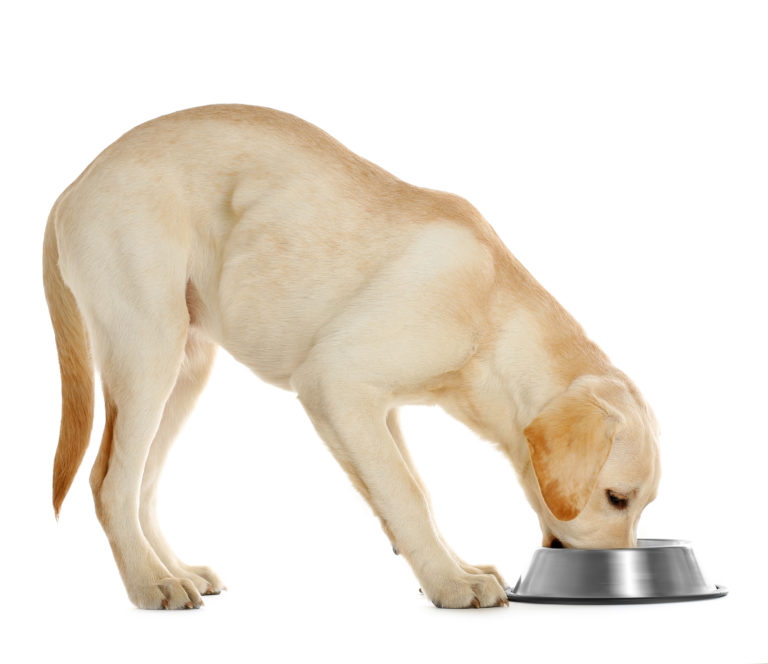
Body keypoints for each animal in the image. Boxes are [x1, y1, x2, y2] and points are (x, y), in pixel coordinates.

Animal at [45, 102, 664, 608]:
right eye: (616, 498)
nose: (607, 576)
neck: (493, 312)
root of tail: (74, 185)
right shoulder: (335, 382)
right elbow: (407, 491)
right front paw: (451, 583)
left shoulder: (370, 409)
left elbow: (402, 488)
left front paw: (449, 566)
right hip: (149, 349)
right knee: (110, 482)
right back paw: (150, 583)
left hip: (186, 366)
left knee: (142, 484)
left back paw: (174, 570)